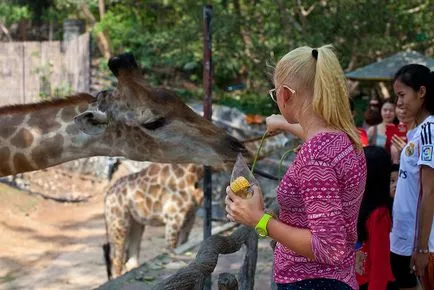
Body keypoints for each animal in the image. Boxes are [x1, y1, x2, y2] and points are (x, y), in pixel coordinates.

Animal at [102, 133, 294, 280]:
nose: (287, 141)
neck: (194, 174)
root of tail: (108, 195)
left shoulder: (189, 217)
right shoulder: (173, 217)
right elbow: (170, 249)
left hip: (136, 223)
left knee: (130, 259)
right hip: (118, 221)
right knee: (116, 258)